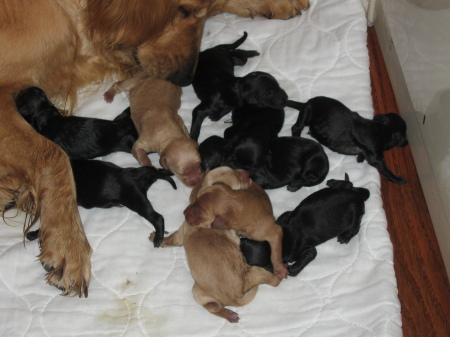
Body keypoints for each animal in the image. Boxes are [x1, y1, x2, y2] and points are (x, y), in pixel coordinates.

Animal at [149, 167, 280, 322]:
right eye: (238, 182)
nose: (246, 173)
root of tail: (234, 299)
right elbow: (173, 239)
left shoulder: (182, 232)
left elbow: (172, 239)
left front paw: (158, 238)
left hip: (201, 290)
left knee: (212, 306)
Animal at [241, 173, 370, 276]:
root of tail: (358, 196)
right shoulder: (286, 215)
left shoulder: (307, 250)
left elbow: (298, 265)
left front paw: (289, 268)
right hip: (341, 190)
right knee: (348, 184)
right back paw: (333, 182)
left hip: (355, 211)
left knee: (356, 226)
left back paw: (346, 236)